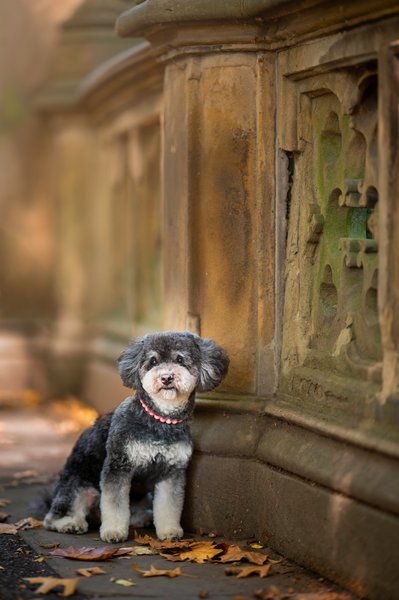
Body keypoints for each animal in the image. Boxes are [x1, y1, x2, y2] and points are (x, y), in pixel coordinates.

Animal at [43, 332, 228, 544]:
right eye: (153, 361)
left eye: (180, 359)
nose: (166, 377)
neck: (160, 420)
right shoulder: (118, 466)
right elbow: (114, 505)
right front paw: (114, 532)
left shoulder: (171, 471)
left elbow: (169, 505)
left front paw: (169, 531)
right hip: (80, 485)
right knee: (55, 515)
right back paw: (69, 523)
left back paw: (141, 518)